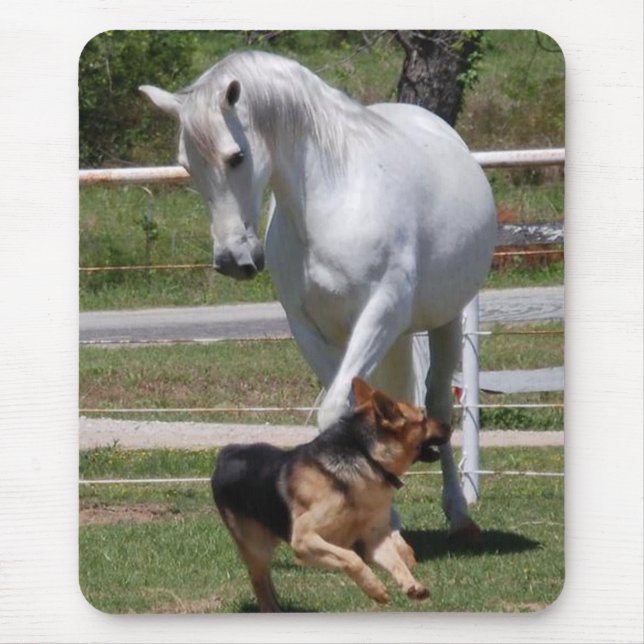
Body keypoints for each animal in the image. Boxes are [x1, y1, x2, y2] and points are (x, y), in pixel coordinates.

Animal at [141, 50, 497, 546]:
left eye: (236, 157)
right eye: (186, 165)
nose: (232, 260)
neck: (330, 204)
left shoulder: (379, 313)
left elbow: (337, 412)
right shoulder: (307, 327)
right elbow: (352, 411)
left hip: (442, 322)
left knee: (439, 403)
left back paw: (460, 516)